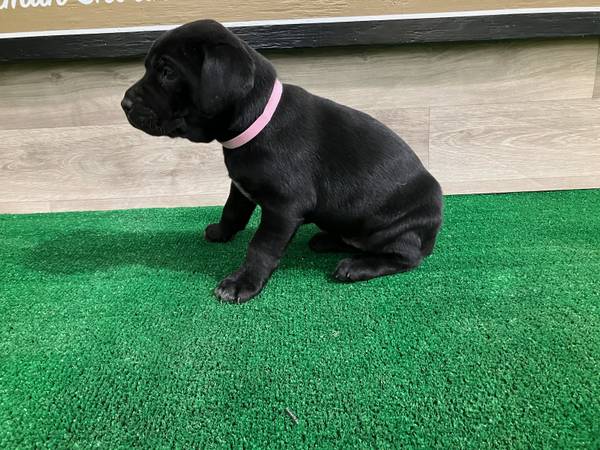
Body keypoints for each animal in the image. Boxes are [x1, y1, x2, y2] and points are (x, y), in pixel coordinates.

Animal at [122, 20, 442, 302]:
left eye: (167, 72)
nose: (124, 103)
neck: (257, 120)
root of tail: (432, 232)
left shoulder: (284, 208)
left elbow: (261, 247)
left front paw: (242, 283)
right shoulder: (240, 187)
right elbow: (232, 211)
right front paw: (221, 233)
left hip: (394, 228)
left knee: (405, 256)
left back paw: (356, 264)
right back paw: (327, 240)